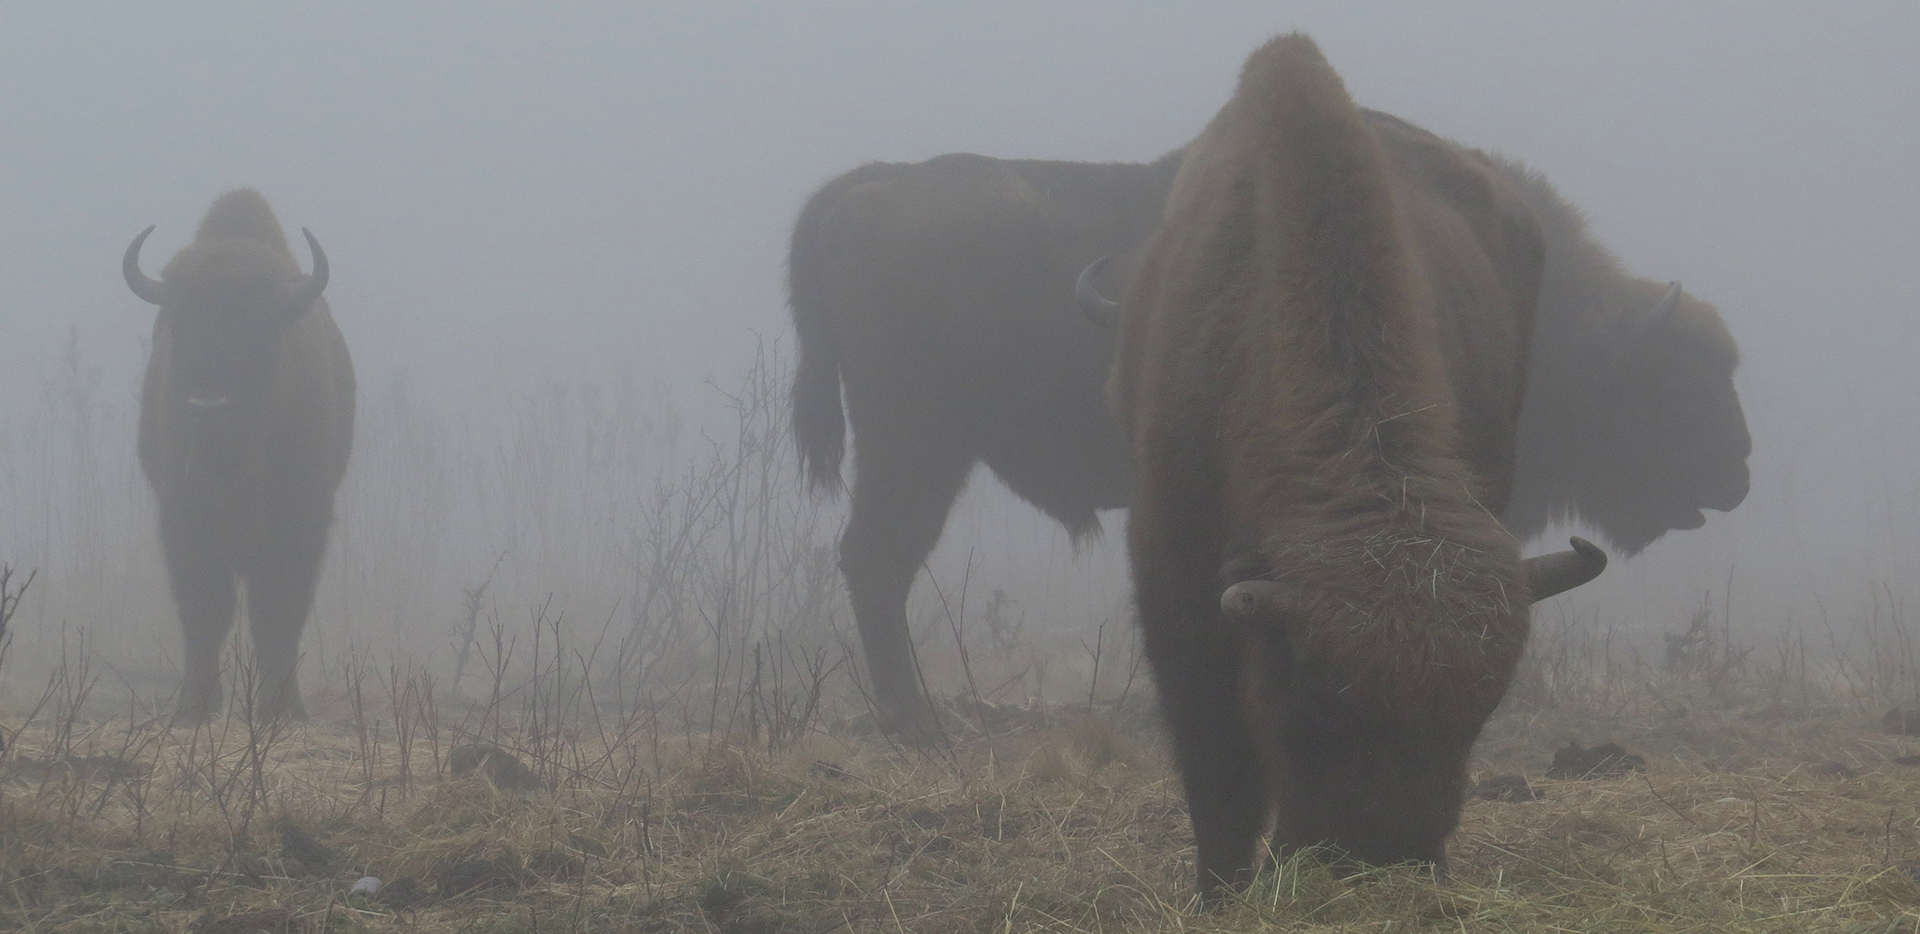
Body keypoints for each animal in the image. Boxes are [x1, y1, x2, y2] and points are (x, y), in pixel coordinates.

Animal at [124, 189, 357, 726]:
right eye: (179, 322)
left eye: (256, 327)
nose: (209, 408)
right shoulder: (184, 517)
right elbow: (205, 607)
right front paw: (194, 710)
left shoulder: (301, 518)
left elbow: (277, 609)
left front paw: (282, 710)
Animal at [787, 103, 1751, 745]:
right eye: (1671, 383)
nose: (1738, 470)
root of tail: (870, 185)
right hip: (916, 448)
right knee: (876, 561)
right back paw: (919, 725)